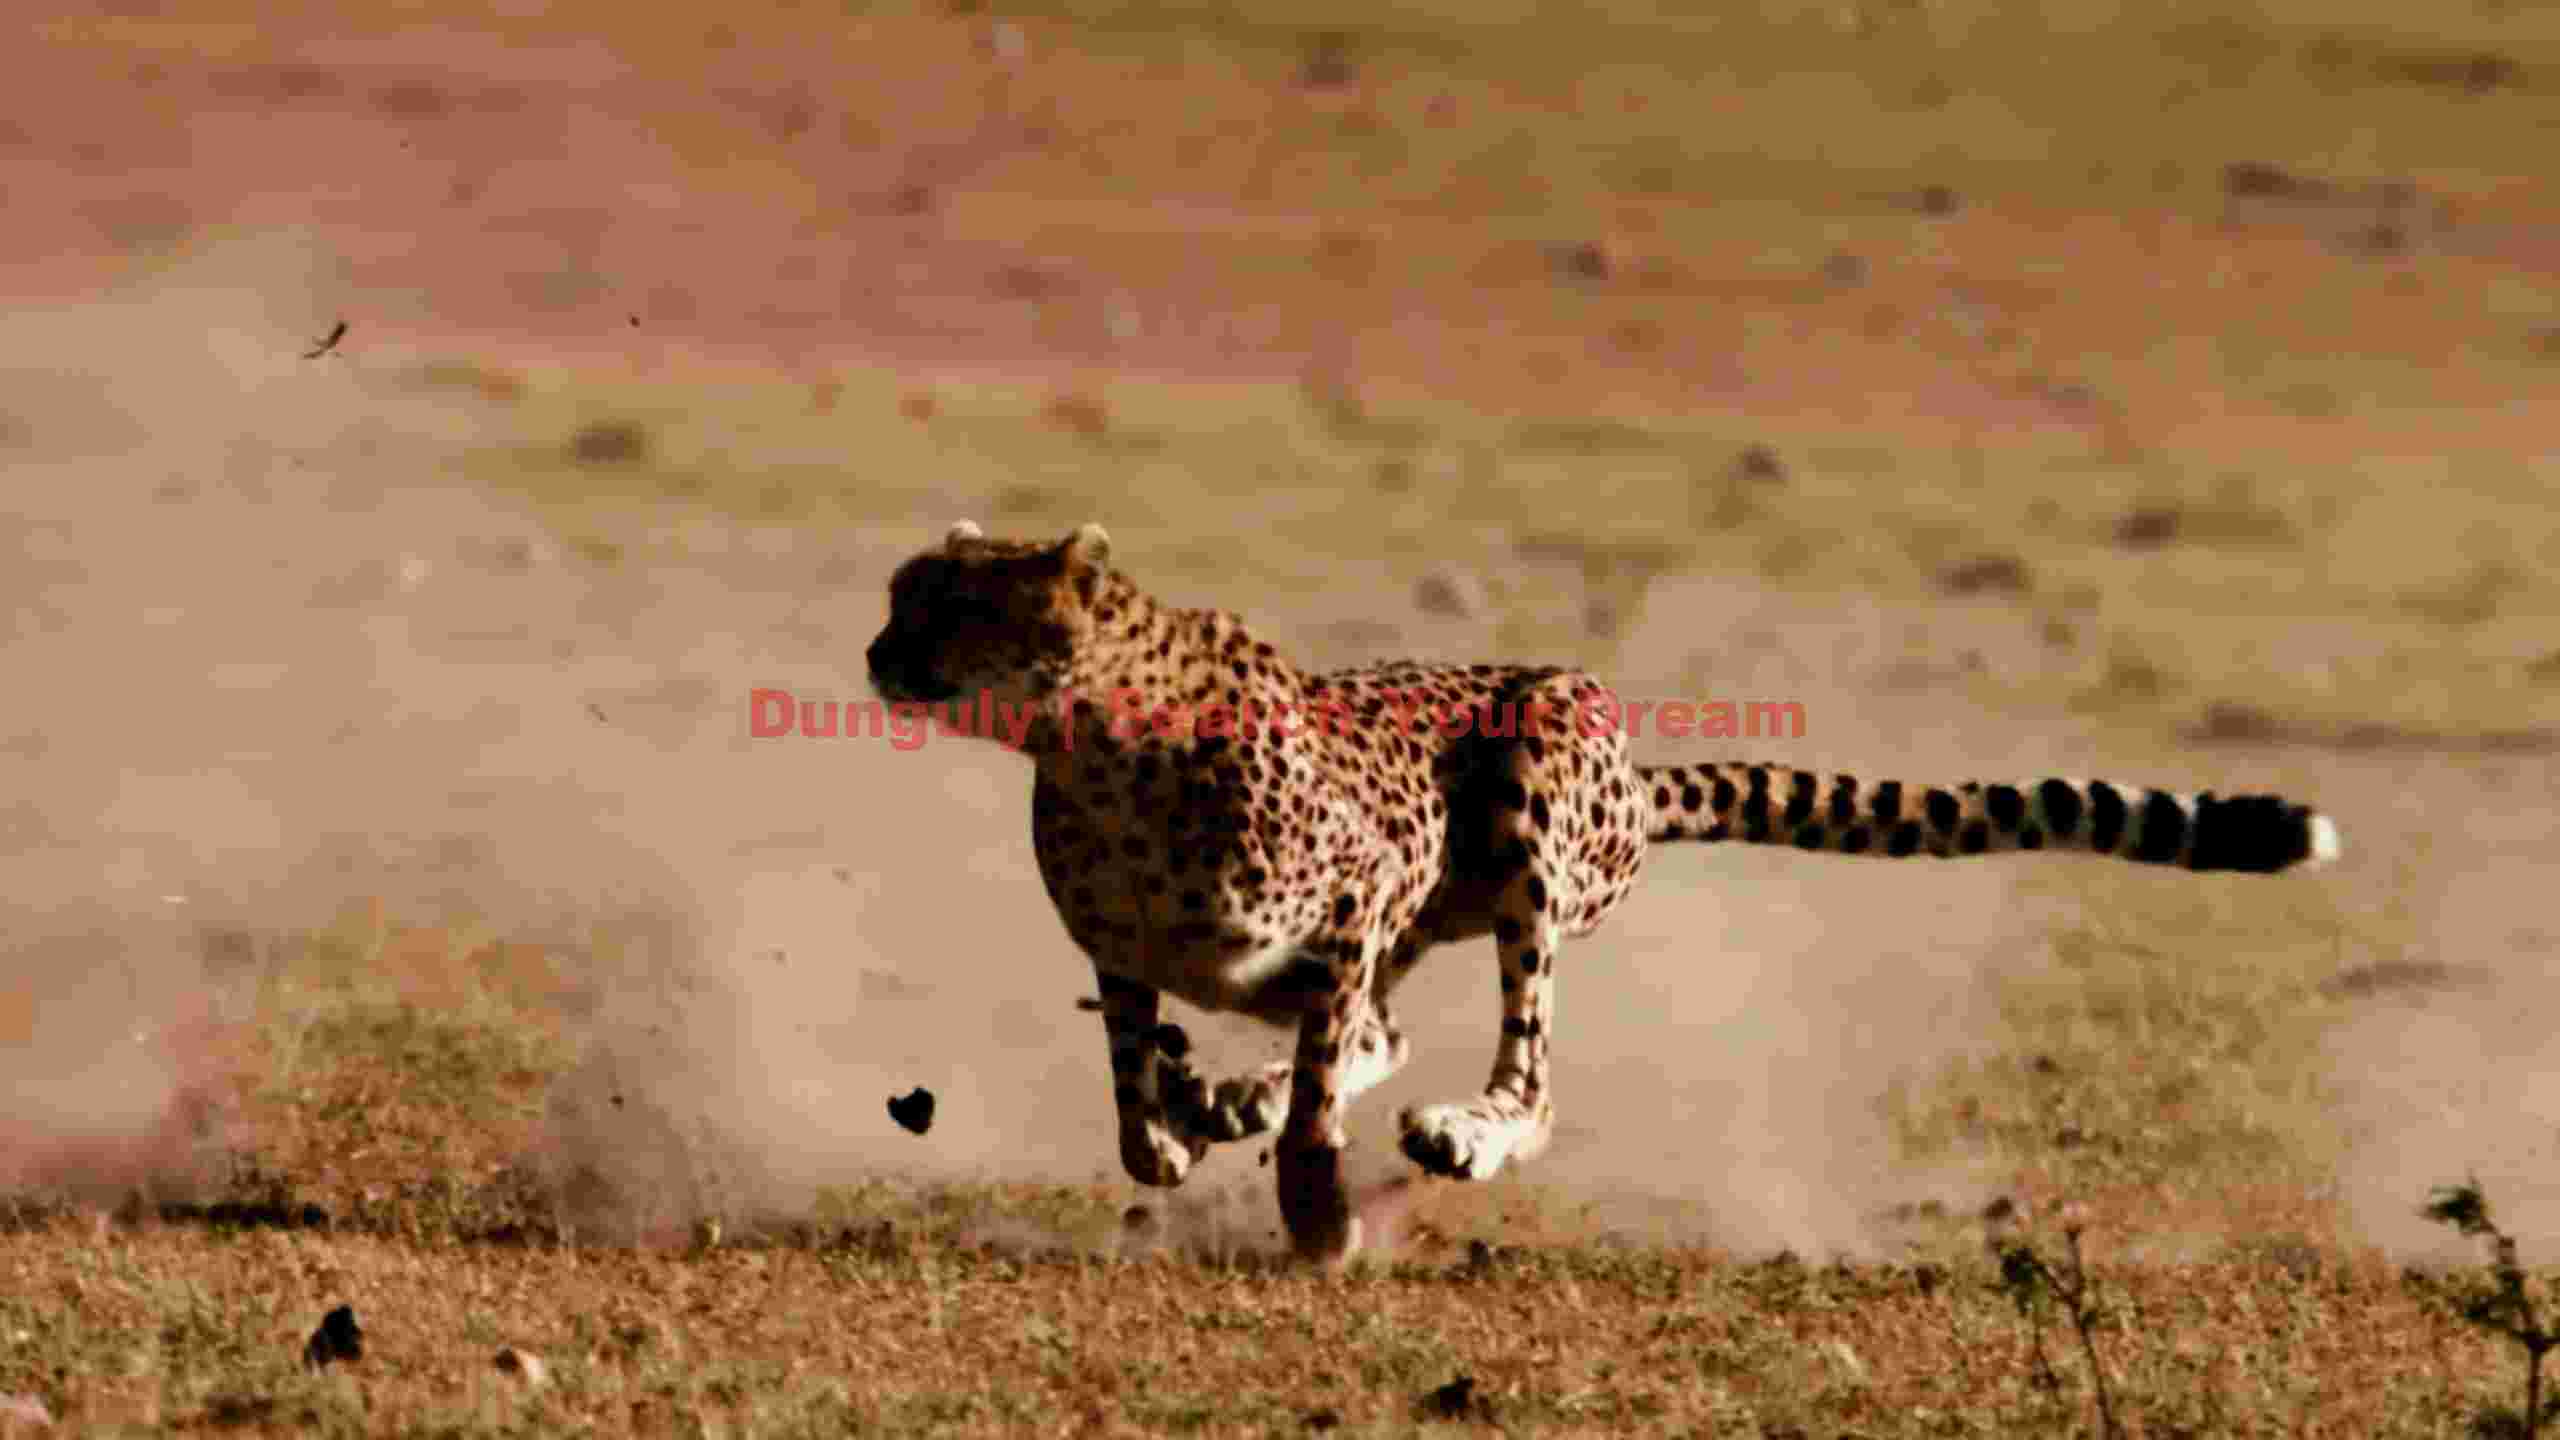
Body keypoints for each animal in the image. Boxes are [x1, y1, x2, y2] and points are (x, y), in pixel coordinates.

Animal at [863, 520, 2343, 1263]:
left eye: (944, 608)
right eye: (899, 595)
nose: (876, 652)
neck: (1093, 740)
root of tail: (1627, 760)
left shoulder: (1358, 900)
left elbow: (1319, 1089)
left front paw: (1317, 1214)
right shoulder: (1130, 951)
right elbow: (1135, 1085)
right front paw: (1179, 1127)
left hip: (1531, 795)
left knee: (1524, 1073)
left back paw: (1456, 1133)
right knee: (1381, 1032)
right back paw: (1239, 1093)